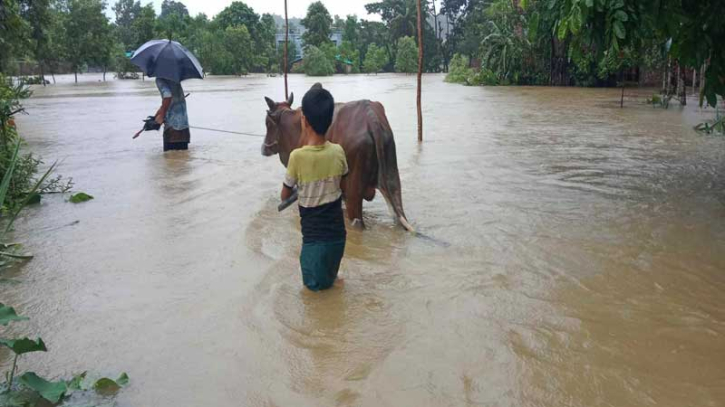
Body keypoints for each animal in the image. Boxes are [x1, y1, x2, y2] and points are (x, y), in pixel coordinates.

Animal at [262, 90, 412, 233]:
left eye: (267, 123)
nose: (264, 148)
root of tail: (371, 117)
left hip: (353, 193)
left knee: (358, 223)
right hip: (392, 181)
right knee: (398, 216)